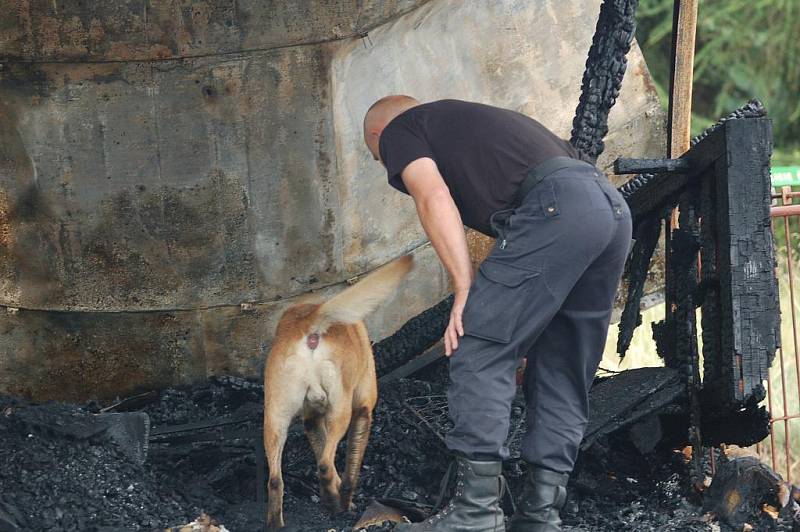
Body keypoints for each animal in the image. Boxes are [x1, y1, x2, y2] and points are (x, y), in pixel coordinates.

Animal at [264, 256, 412, 528]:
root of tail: (307, 324)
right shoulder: (363, 411)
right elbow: (350, 467)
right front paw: (344, 501)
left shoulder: (311, 419)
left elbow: (326, 456)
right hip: (339, 412)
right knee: (323, 465)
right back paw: (335, 503)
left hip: (275, 420)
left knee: (276, 480)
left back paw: (277, 524)